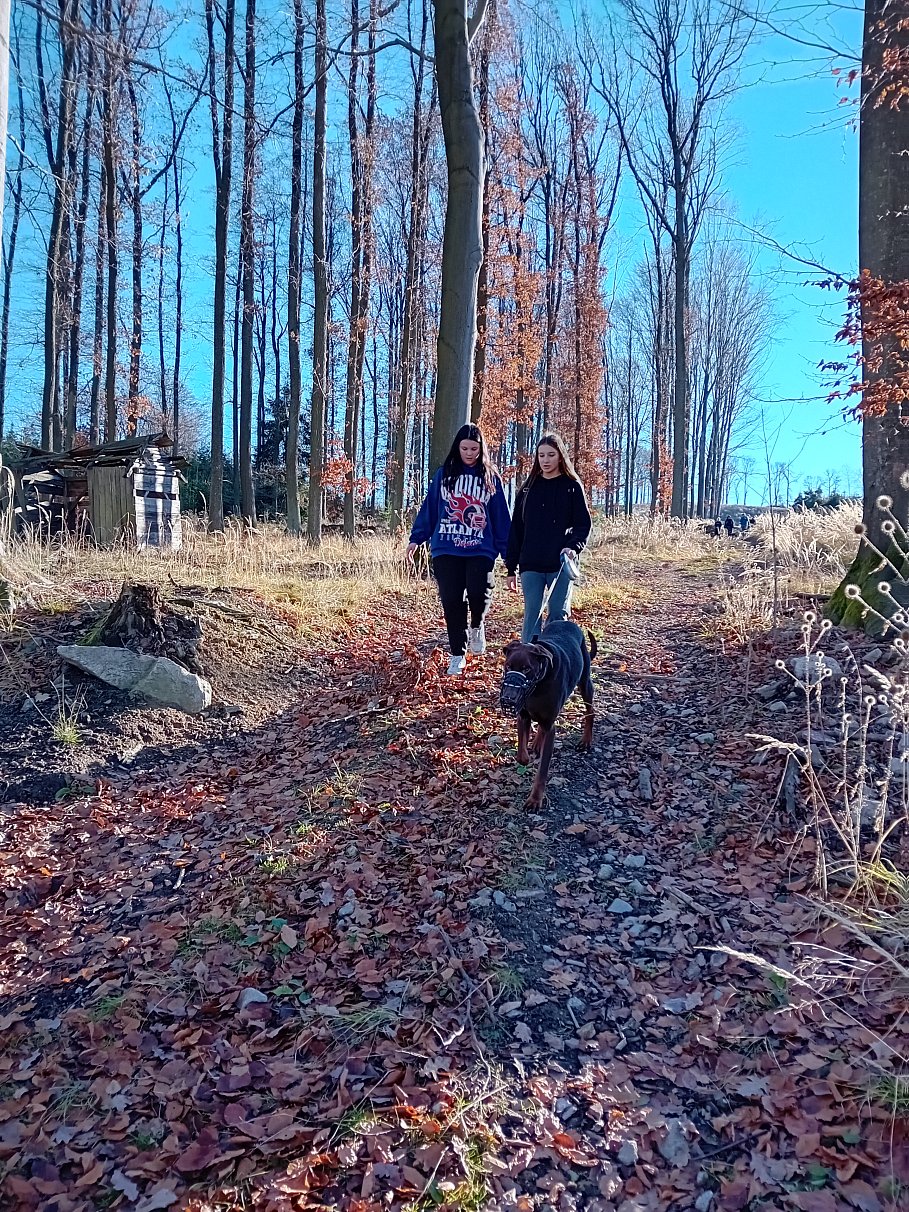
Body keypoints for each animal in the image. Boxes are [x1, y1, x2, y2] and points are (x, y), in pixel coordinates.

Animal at [500, 620, 597, 809]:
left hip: (585, 683)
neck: (538, 685)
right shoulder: (523, 715)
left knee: (590, 711)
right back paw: (537, 742)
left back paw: (586, 740)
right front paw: (527, 756)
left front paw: (535, 799)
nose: (508, 698)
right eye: (508, 666)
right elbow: (521, 754)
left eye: (527, 669)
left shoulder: (551, 725)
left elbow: (542, 770)